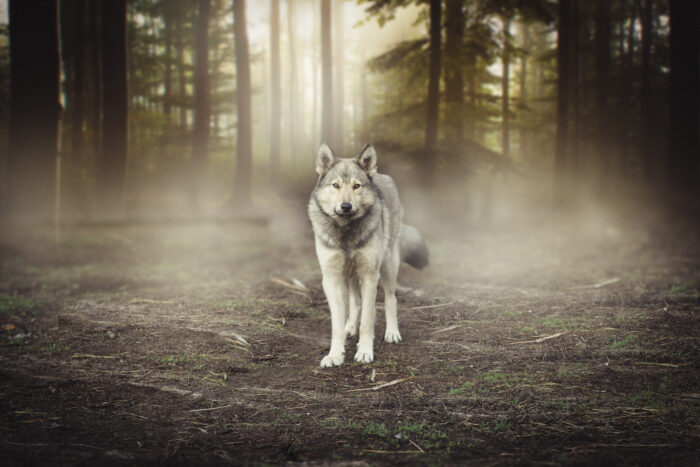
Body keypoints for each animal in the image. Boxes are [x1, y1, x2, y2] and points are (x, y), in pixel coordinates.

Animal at [308, 144, 430, 368]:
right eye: (336, 185)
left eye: (356, 186)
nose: (346, 206)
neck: (346, 232)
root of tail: (381, 174)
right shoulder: (331, 279)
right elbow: (336, 324)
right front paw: (335, 354)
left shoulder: (370, 276)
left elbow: (367, 320)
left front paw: (364, 351)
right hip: (350, 275)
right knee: (355, 303)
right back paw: (350, 328)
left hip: (388, 266)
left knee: (390, 299)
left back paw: (392, 332)